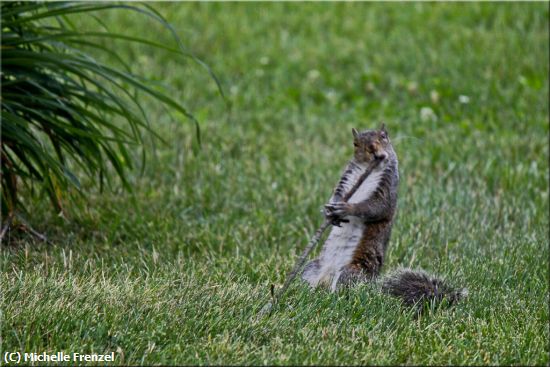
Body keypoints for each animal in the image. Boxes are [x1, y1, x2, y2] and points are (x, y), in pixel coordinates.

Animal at [302, 123, 470, 310]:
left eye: (383, 137)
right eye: (355, 143)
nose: (374, 150)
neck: (367, 170)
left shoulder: (387, 187)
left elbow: (375, 207)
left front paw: (347, 208)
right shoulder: (347, 178)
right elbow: (337, 194)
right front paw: (329, 210)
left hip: (351, 272)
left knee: (343, 290)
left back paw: (330, 298)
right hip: (311, 268)